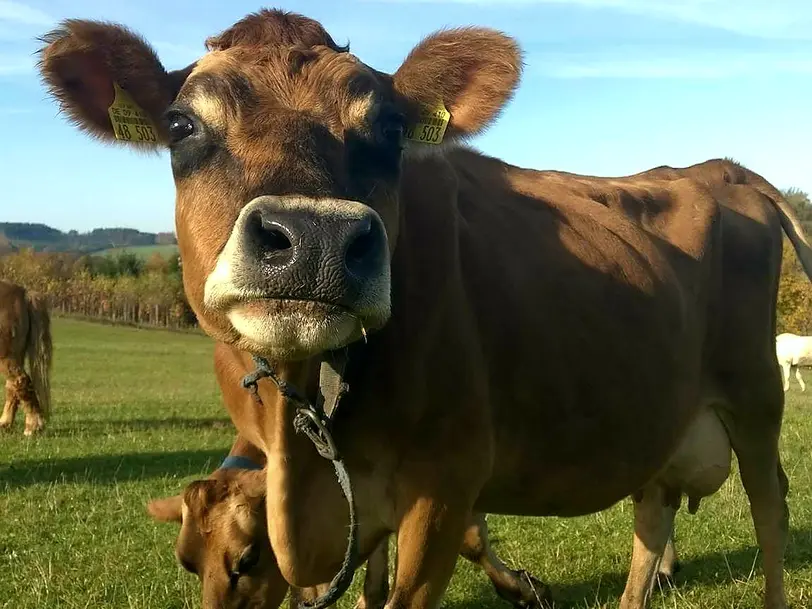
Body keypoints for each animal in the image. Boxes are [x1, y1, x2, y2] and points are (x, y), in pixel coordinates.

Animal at [38, 9, 812, 608]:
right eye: (179, 124)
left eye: (388, 129)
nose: (314, 238)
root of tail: (721, 168)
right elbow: (370, 580)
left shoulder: (448, 478)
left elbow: (447, 554)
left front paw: (520, 585)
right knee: (653, 517)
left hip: (754, 395)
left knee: (770, 507)